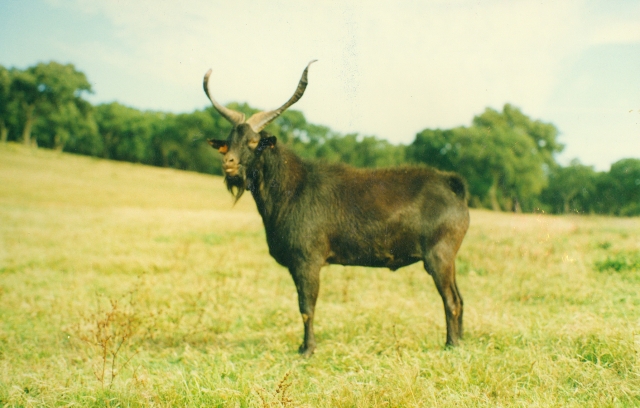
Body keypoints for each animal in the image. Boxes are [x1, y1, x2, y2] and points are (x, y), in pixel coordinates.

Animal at [205, 62, 470, 356]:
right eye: (227, 142)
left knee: (451, 300)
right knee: (460, 299)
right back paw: (460, 340)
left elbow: (306, 307)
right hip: (449, 258)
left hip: (439, 255)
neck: (292, 188)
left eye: (254, 142)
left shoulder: (307, 260)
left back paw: (451, 344)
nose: (228, 164)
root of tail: (452, 185)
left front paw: (307, 350)